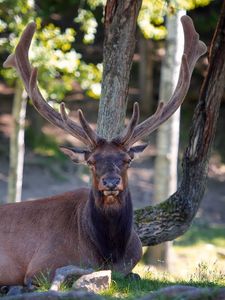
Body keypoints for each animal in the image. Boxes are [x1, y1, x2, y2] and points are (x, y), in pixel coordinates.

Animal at [0, 15, 207, 286]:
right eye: (91, 161)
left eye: (127, 159)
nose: (110, 182)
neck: (110, 252)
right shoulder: (41, 267)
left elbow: (134, 275)